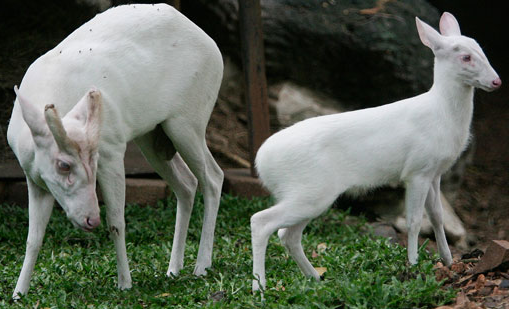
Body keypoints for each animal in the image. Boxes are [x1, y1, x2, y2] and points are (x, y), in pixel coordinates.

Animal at [6, 3, 223, 298]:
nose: (90, 220)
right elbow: (33, 237)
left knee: (213, 177)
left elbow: (117, 221)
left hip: (188, 123)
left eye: (93, 160)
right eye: (64, 165)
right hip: (152, 137)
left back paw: (202, 265)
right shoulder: (34, 178)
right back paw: (173, 268)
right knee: (187, 183)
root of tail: (214, 47)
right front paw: (18, 293)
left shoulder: (112, 149)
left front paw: (125, 283)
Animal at [250, 12, 500, 292]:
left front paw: (447, 261)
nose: (496, 81)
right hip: (309, 190)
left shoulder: (434, 172)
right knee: (261, 222)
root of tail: (261, 162)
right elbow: (414, 221)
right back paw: (259, 287)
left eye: (480, 49)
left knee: (288, 234)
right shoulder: (416, 170)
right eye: (466, 57)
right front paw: (413, 266)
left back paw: (315, 277)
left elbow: (437, 216)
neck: (441, 112)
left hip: (307, 193)